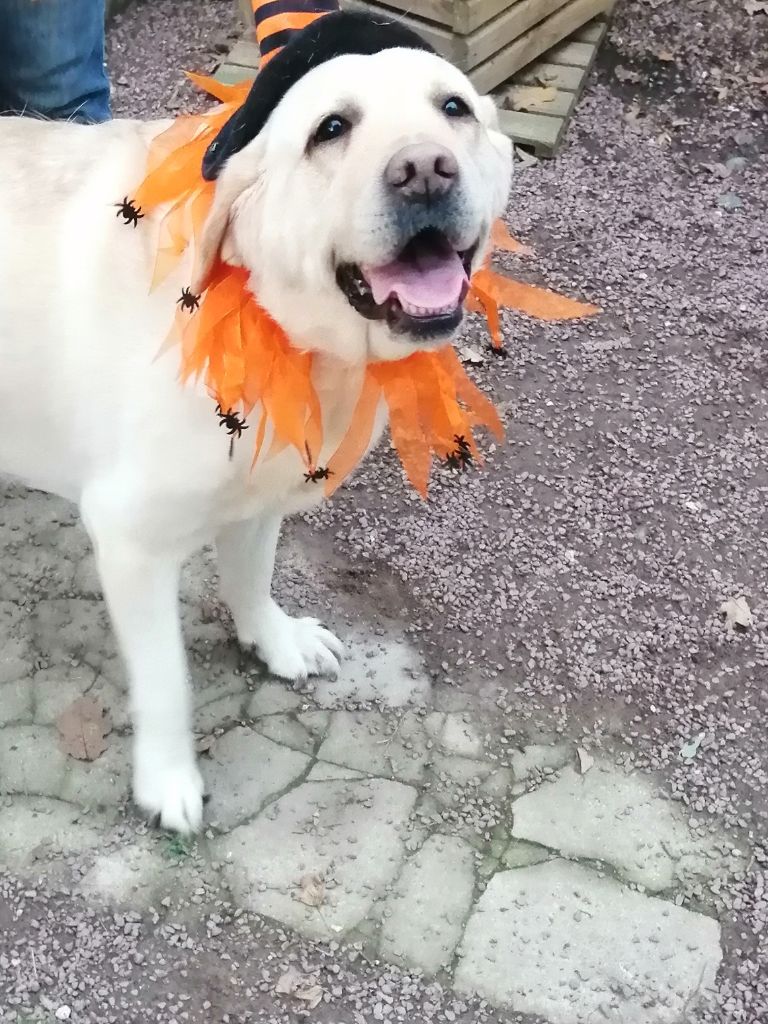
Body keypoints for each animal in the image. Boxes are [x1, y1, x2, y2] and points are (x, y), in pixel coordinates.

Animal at [1, 14, 518, 831]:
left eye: (454, 108)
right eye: (330, 129)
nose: (426, 171)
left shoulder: (262, 490)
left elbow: (252, 576)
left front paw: (274, 641)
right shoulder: (129, 539)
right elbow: (167, 680)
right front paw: (168, 779)